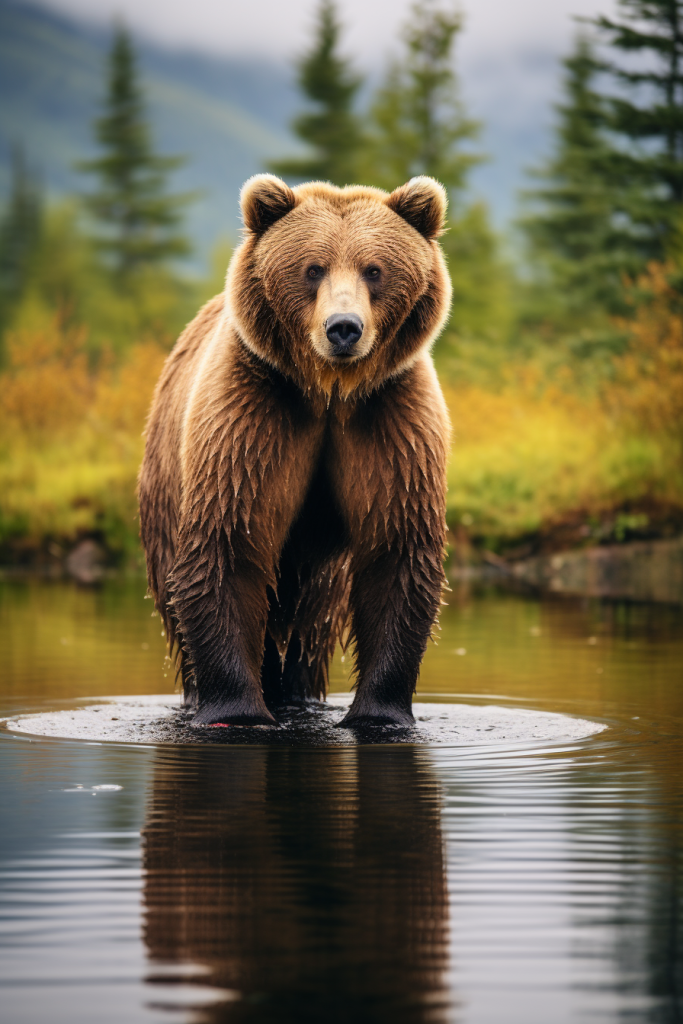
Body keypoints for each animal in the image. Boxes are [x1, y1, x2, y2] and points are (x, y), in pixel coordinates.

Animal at [138, 173, 451, 729]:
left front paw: (380, 712)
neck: (329, 391)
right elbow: (229, 542)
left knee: (313, 620)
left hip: (322, 577)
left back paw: (300, 693)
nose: (344, 327)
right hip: (164, 491)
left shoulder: (389, 421)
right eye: (313, 268)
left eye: (374, 269)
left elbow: (397, 548)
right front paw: (238, 710)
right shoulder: (254, 413)